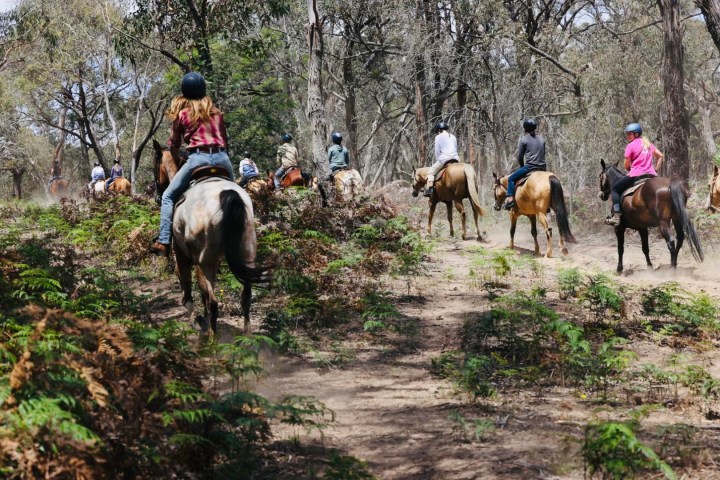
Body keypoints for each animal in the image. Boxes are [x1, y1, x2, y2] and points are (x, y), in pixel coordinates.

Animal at [153, 139, 264, 334]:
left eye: (154, 166)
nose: (157, 195)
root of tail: (228, 194)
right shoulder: (215, 259)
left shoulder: (181, 254)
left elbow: (188, 289)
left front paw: (196, 319)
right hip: (245, 255)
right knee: (245, 297)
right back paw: (247, 337)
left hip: (202, 260)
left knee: (213, 302)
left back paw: (213, 339)